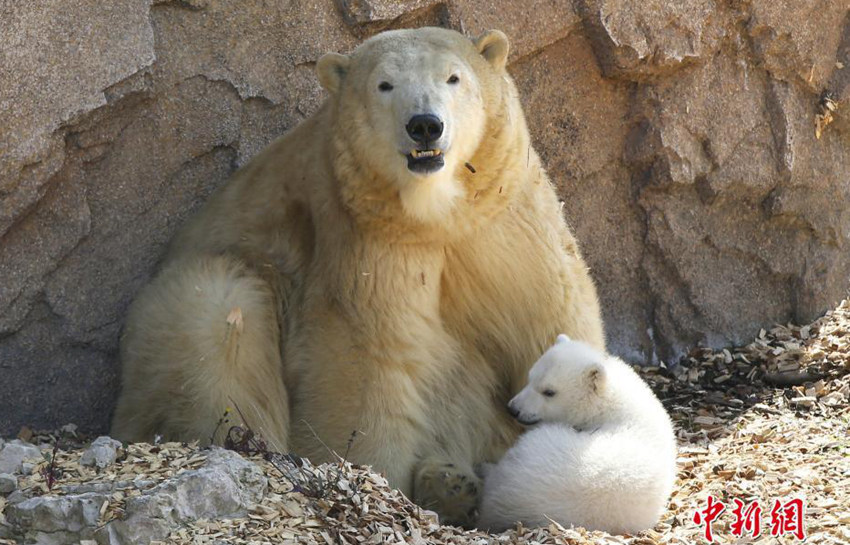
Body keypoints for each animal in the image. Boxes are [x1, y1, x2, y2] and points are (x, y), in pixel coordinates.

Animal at [112, 26, 604, 524]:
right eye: (384, 85)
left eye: (454, 77)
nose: (424, 124)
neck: (437, 215)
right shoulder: (365, 244)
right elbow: (368, 363)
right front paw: (374, 477)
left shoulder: (507, 225)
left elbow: (548, 316)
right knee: (217, 318)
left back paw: (450, 481)